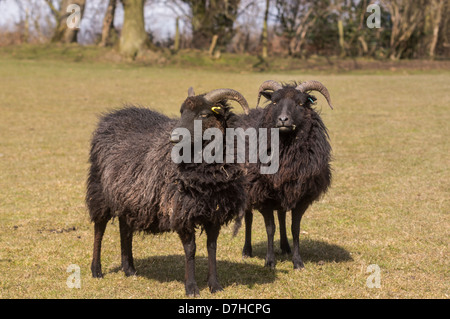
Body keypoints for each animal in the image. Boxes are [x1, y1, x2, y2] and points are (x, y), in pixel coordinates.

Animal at [85, 88, 250, 298]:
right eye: (181, 111)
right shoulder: (181, 212)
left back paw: (129, 269)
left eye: (204, 115)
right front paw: (191, 288)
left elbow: (212, 247)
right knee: (99, 229)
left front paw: (215, 285)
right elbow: (191, 250)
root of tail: (111, 116)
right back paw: (96, 270)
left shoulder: (215, 212)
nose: (174, 138)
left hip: (129, 196)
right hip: (100, 191)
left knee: (125, 228)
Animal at [239, 80, 334, 270]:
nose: (283, 119)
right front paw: (270, 261)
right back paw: (247, 250)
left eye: (301, 103)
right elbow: (270, 228)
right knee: (249, 217)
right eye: (275, 102)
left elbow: (294, 228)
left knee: (282, 215)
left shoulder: (301, 196)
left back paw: (285, 247)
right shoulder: (263, 195)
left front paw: (297, 261)